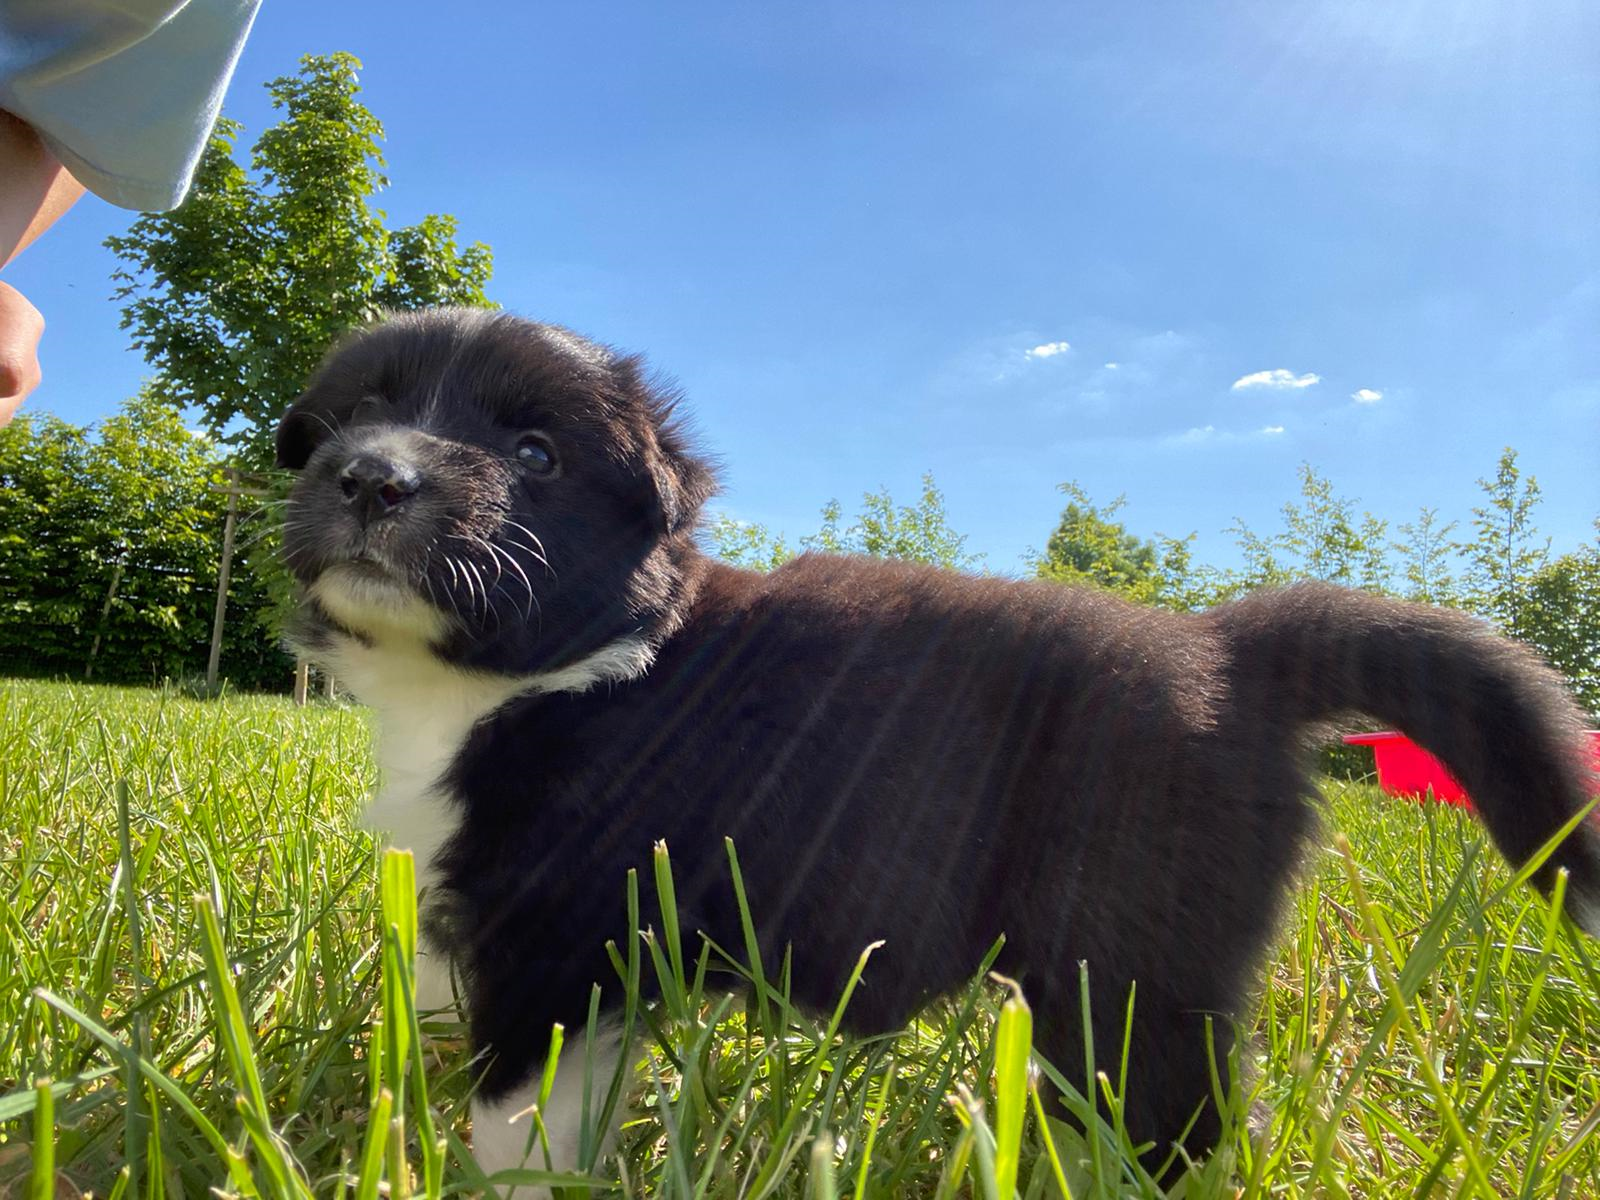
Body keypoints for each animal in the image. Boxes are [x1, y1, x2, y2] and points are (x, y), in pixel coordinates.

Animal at [276, 307, 1600, 1189]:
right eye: (355, 415)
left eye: (536, 456)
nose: (372, 478)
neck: (519, 676)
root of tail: (1226, 651)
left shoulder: (569, 939)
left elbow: (521, 1104)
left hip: (1127, 960)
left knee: (1177, 1118)